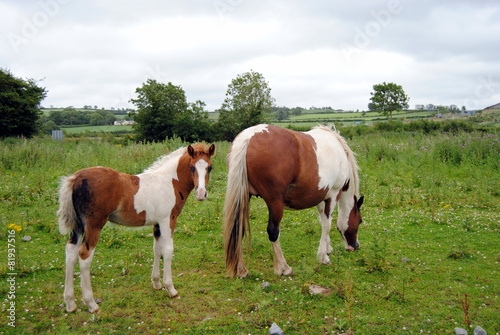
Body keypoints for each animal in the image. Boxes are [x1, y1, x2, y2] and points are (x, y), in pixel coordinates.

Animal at [58, 143, 215, 314]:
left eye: (210, 167)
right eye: (192, 167)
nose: (201, 194)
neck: (170, 181)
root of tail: (75, 178)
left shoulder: (156, 224)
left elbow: (156, 249)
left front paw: (157, 283)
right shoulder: (167, 220)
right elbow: (167, 250)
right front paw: (171, 289)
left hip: (78, 226)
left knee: (70, 253)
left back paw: (70, 304)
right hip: (94, 225)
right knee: (84, 255)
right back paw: (92, 304)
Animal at [224, 125, 364, 278]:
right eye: (360, 221)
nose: (355, 246)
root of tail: (249, 136)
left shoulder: (321, 196)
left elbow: (323, 220)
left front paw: (327, 248)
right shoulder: (333, 194)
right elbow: (327, 223)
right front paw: (323, 257)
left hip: (244, 196)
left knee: (238, 230)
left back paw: (241, 270)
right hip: (275, 202)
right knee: (273, 231)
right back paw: (283, 268)